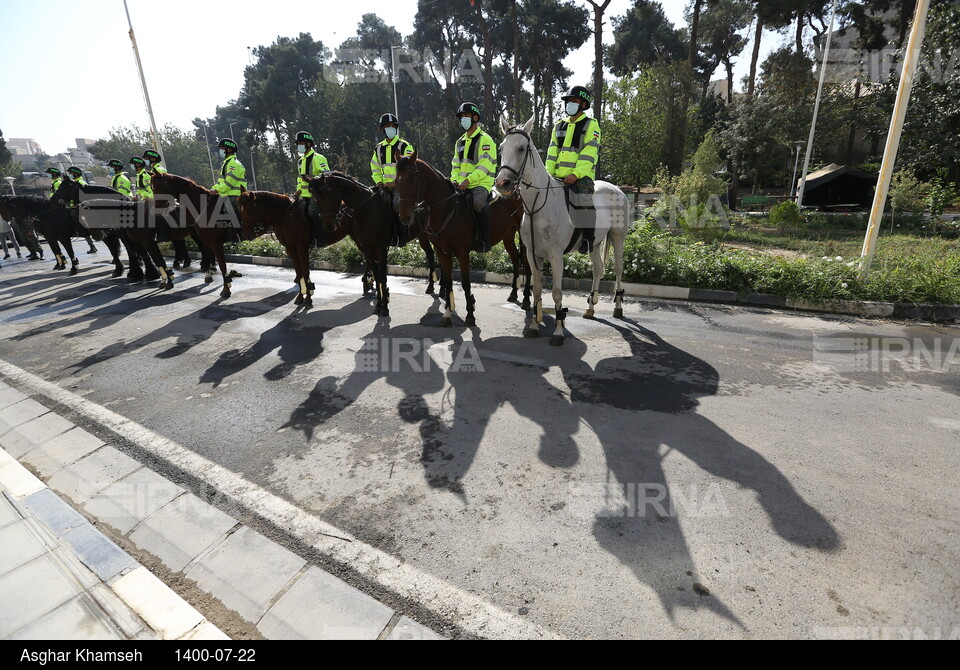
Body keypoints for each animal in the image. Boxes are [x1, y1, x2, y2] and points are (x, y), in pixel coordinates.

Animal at [398, 155, 532, 328]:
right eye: (397, 179)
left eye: (412, 180)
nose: (405, 217)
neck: (447, 209)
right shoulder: (442, 252)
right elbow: (448, 281)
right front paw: (447, 314)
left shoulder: (462, 253)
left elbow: (465, 283)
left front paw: (470, 315)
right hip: (508, 236)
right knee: (515, 259)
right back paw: (513, 293)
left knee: (527, 265)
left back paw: (527, 300)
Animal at [496, 115, 632, 346]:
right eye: (501, 147)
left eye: (522, 148)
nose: (502, 183)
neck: (539, 206)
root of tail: (617, 189)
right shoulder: (533, 255)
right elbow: (537, 290)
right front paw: (533, 327)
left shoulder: (556, 256)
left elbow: (557, 293)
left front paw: (558, 333)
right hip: (595, 243)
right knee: (598, 269)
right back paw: (590, 307)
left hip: (618, 238)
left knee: (618, 269)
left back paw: (618, 307)